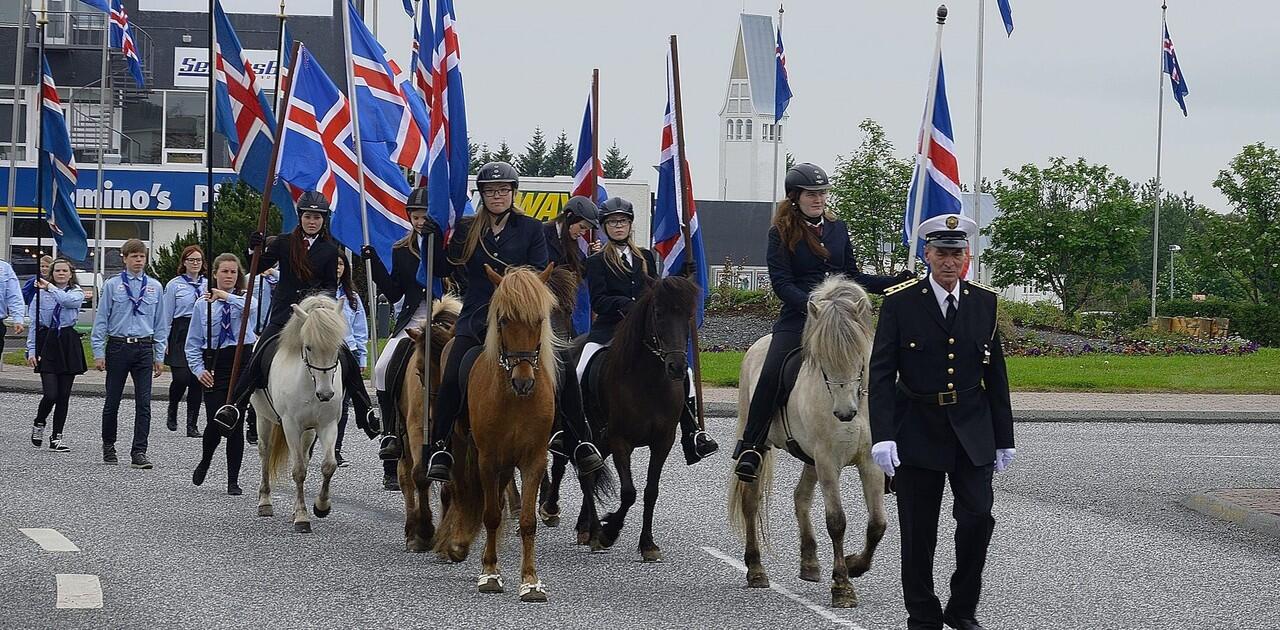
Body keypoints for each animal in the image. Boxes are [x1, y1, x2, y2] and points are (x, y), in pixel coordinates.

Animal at [252, 294, 350, 532]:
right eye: (309, 347)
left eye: (337, 346)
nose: (326, 394)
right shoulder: (290, 426)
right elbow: (298, 471)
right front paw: (302, 517)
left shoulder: (327, 425)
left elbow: (328, 466)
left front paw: (321, 506)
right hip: (264, 418)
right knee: (265, 452)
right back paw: (265, 502)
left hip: (309, 431)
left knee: (305, 457)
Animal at [399, 294, 465, 550]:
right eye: (419, 371)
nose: (435, 420)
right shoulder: (417, 430)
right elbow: (419, 475)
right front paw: (424, 532)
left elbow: (450, 484)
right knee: (405, 477)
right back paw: (411, 528)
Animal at [432, 263, 558, 601]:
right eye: (503, 320)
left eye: (539, 320)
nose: (523, 382)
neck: (514, 399)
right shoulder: (487, 458)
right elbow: (490, 513)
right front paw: (489, 573)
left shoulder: (533, 460)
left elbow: (526, 520)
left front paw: (530, 581)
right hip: (462, 443)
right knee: (459, 488)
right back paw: (455, 542)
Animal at [578, 275, 706, 560]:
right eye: (658, 313)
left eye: (688, 314)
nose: (677, 367)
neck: (649, 382)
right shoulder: (619, 440)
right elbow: (628, 493)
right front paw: (609, 531)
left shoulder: (663, 441)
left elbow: (650, 492)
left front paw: (648, 544)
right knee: (584, 475)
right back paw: (591, 530)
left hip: (601, 442)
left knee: (590, 475)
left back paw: (585, 526)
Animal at [732, 276, 890, 609]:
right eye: (823, 359)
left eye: (860, 358)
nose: (844, 413)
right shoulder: (828, 460)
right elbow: (837, 521)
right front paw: (842, 585)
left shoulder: (868, 461)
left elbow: (877, 524)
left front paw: (855, 565)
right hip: (760, 445)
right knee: (751, 502)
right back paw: (755, 569)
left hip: (811, 459)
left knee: (800, 496)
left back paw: (810, 562)